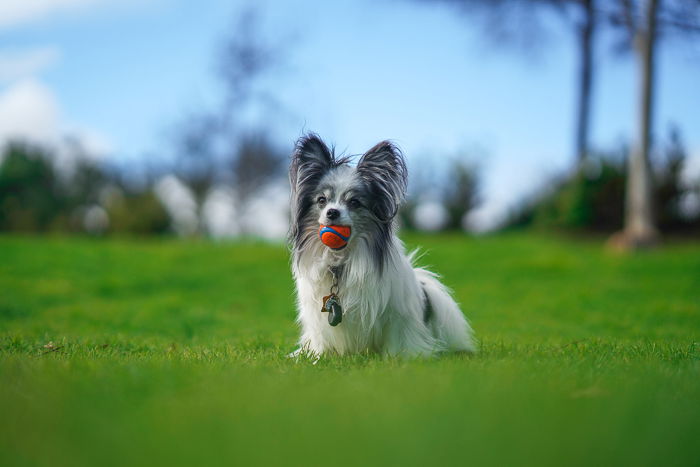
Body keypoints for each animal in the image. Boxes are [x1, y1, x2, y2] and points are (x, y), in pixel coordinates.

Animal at [286, 135, 476, 358]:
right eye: (322, 200)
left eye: (354, 202)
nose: (332, 212)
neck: (342, 260)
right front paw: (318, 356)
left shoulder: (397, 314)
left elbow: (399, 337)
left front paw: (400, 357)